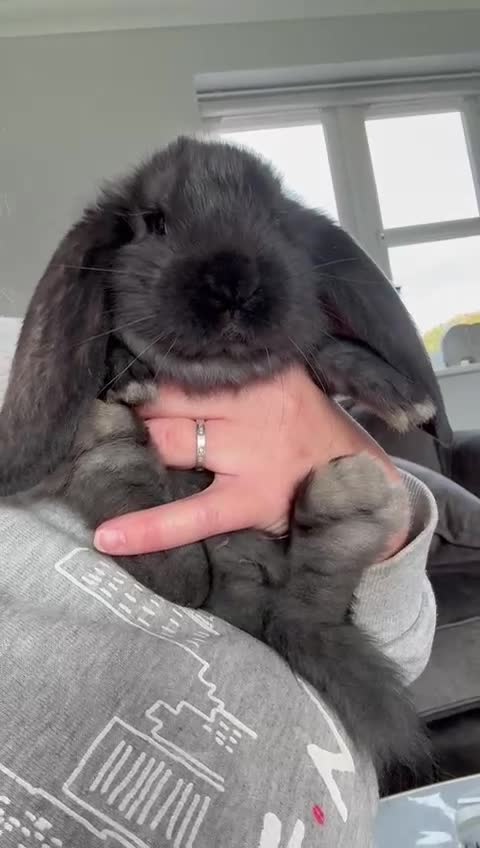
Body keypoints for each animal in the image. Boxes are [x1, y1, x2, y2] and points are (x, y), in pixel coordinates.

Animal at [0, 135, 438, 780]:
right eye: (154, 222)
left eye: (277, 222)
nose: (235, 285)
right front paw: (127, 376)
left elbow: (327, 350)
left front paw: (404, 399)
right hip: (194, 560)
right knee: (190, 580)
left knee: (304, 601)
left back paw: (347, 504)